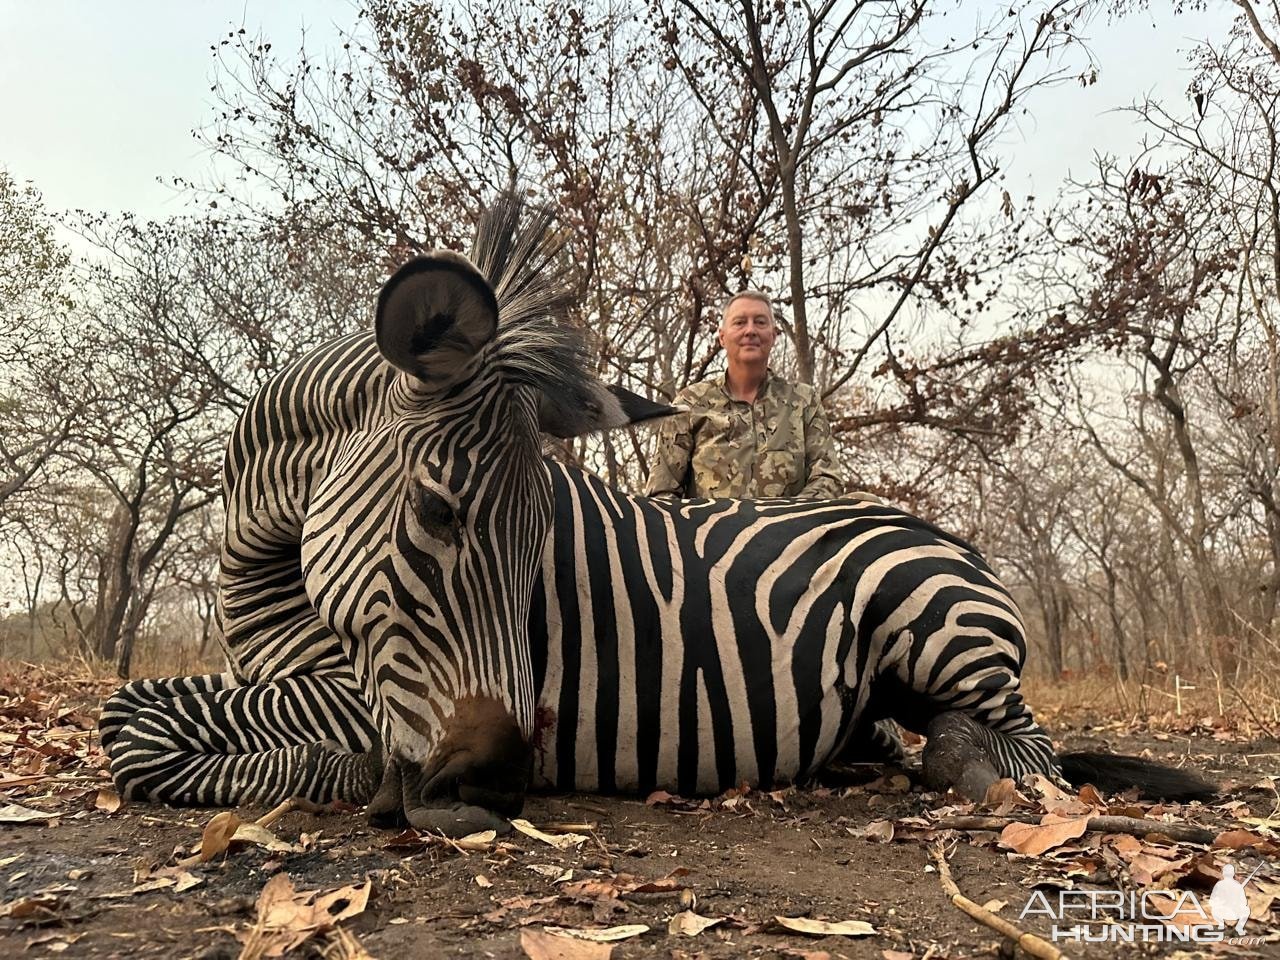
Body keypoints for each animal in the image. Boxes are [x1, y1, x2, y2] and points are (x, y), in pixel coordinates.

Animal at [99, 197, 1208, 834]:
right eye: (439, 513)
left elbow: (130, 724)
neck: (266, 561)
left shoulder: (348, 690)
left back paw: (961, 765)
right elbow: (134, 724)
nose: (493, 786)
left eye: (539, 541)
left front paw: (348, 773)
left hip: (935, 627)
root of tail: (940, 533)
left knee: (1020, 752)